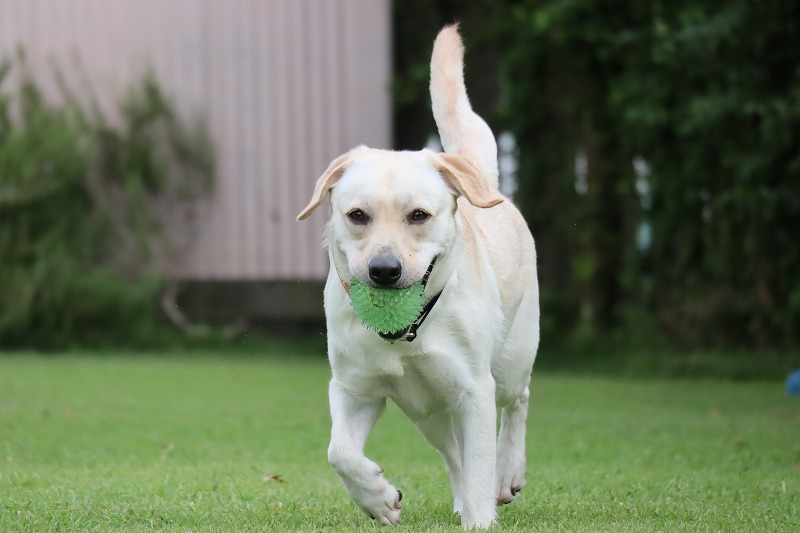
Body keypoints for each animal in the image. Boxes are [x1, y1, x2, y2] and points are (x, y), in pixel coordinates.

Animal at [297, 25, 539, 530]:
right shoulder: (354, 388)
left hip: (512, 357)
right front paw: (378, 497)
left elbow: (482, 457)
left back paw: (507, 474)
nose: (385, 270)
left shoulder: (473, 390)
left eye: (419, 215)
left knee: (517, 403)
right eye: (357, 215)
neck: (405, 335)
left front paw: (480, 518)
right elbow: (338, 451)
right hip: (427, 412)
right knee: (453, 454)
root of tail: (481, 177)